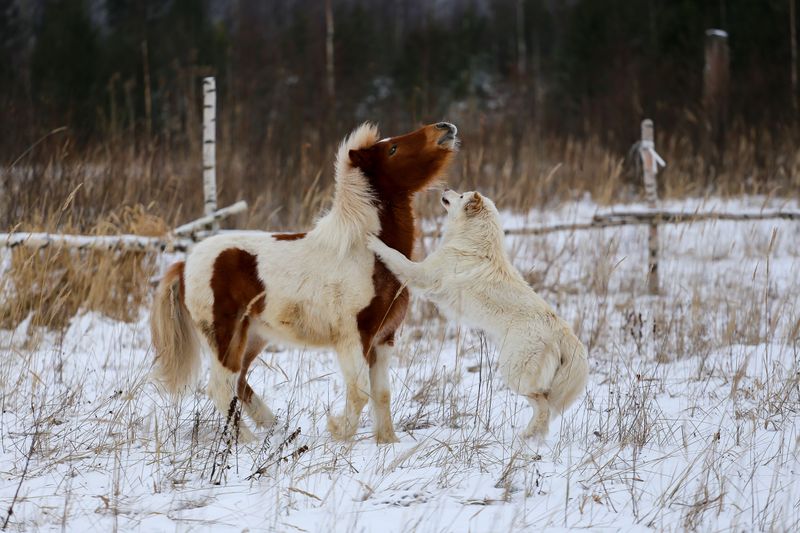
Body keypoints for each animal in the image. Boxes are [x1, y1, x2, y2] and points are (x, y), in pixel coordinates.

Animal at [150, 121, 458, 443]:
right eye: (392, 149)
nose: (444, 128)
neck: (362, 251)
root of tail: (184, 264)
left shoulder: (383, 339)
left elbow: (382, 394)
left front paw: (388, 443)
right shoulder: (353, 338)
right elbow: (360, 393)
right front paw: (338, 432)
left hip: (253, 336)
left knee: (239, 382)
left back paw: (272, 426)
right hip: (225, 336)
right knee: (221, 388)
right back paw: (249, 442)